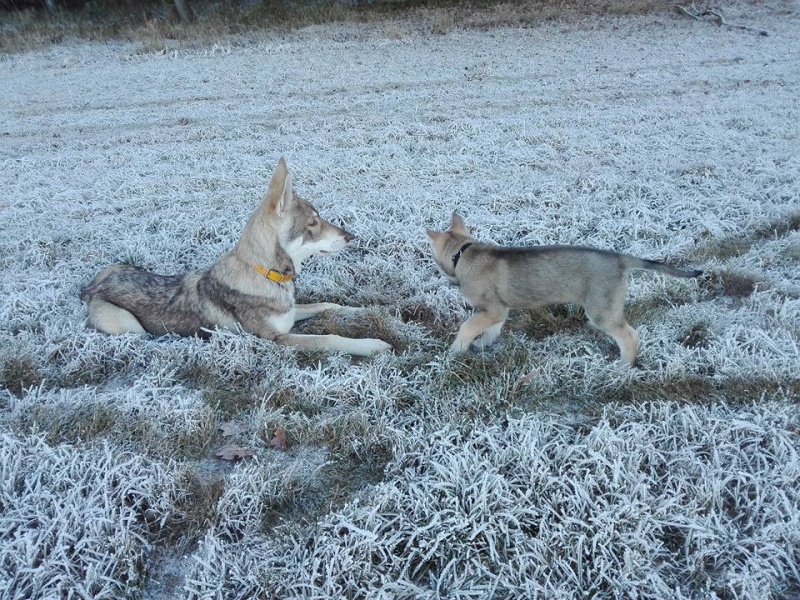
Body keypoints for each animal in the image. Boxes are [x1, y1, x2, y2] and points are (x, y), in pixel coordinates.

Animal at [81, 158, 394, 356]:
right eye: (314, 223)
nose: (350, 236)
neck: (266, 274)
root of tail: (92, 287)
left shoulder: (291, 313)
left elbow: (329, 305)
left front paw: (366, 310)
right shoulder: (278, 338)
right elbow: (331, 338)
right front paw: (373, 345)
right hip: (131, 328)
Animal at [424, 214, 700, 366]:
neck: (464, 254)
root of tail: (619, 259)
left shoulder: (490, 309)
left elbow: (467, 327)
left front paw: (454, 352)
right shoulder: (498, 310)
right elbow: (491, 330)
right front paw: (481, 345)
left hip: (601, 310)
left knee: (629, 336)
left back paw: (622, 368)